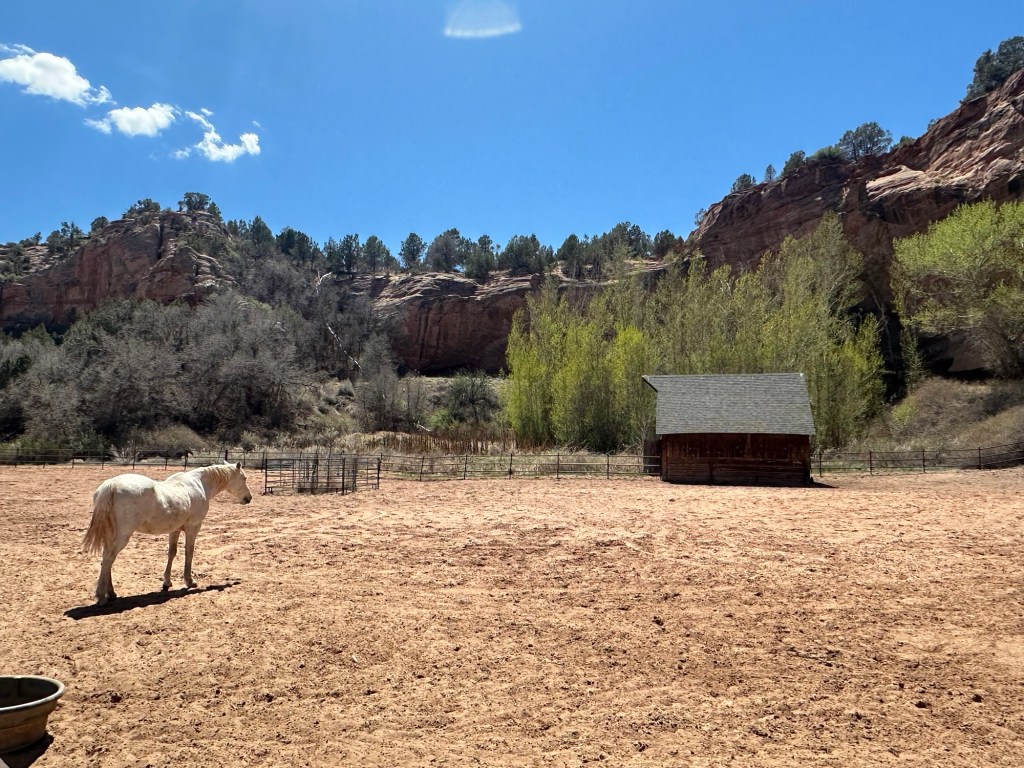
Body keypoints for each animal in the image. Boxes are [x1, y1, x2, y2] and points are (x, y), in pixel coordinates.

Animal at [82, 461, 253, 605]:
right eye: (244, 478)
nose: (248, 498)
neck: (200, 484)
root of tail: (111, 485)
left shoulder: (175, 530)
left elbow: (172, 553)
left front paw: (167, 582)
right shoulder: (193, 527)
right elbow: (189, 552)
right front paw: (189, 581)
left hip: (112, 535)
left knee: (107, 560)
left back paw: (111, 593)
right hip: (122, 536)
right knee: (108, 558)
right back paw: (102, 597)